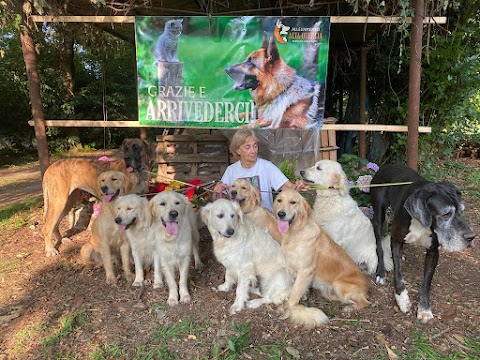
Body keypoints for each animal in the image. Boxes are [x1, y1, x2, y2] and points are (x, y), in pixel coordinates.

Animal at [200, 198, 330, 328]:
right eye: (220, 215)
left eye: (232, 215)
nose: (230, 231)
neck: (226, 240)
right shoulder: (230, 262)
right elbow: (228, 276)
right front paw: (225, 287)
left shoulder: (245, 268)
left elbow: (239, 290)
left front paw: (237, 305)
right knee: (264, 292)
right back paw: (252, 289)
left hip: (278, 276)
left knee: (270, 298)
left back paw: (254, 302)